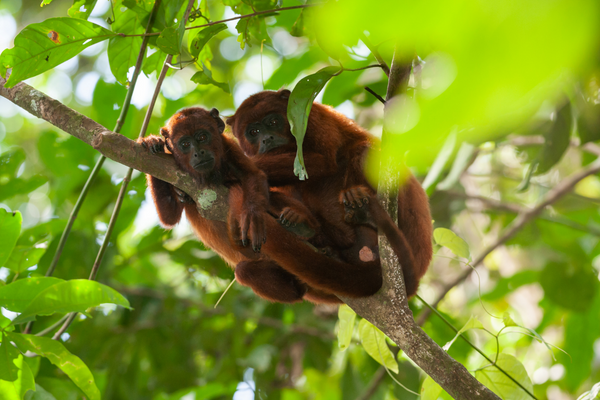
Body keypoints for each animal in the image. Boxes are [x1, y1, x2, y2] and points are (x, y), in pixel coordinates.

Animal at [138, 106, 390, 304]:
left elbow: (255, 177)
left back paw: (305, 228)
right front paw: (152, 143)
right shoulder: (173, 165)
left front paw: (251, 215)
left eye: (202, 137)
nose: (199, 153)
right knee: (246, 272)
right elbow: (169, 217)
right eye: (185, 144)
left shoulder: (229, 147)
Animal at [225, 90, 432, 296]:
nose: (267, 139)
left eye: (273, 122)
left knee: (364, 151)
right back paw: (307, 227)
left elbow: (324, 161)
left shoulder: (312, 118)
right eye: (253, 132)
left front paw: (229, 164)